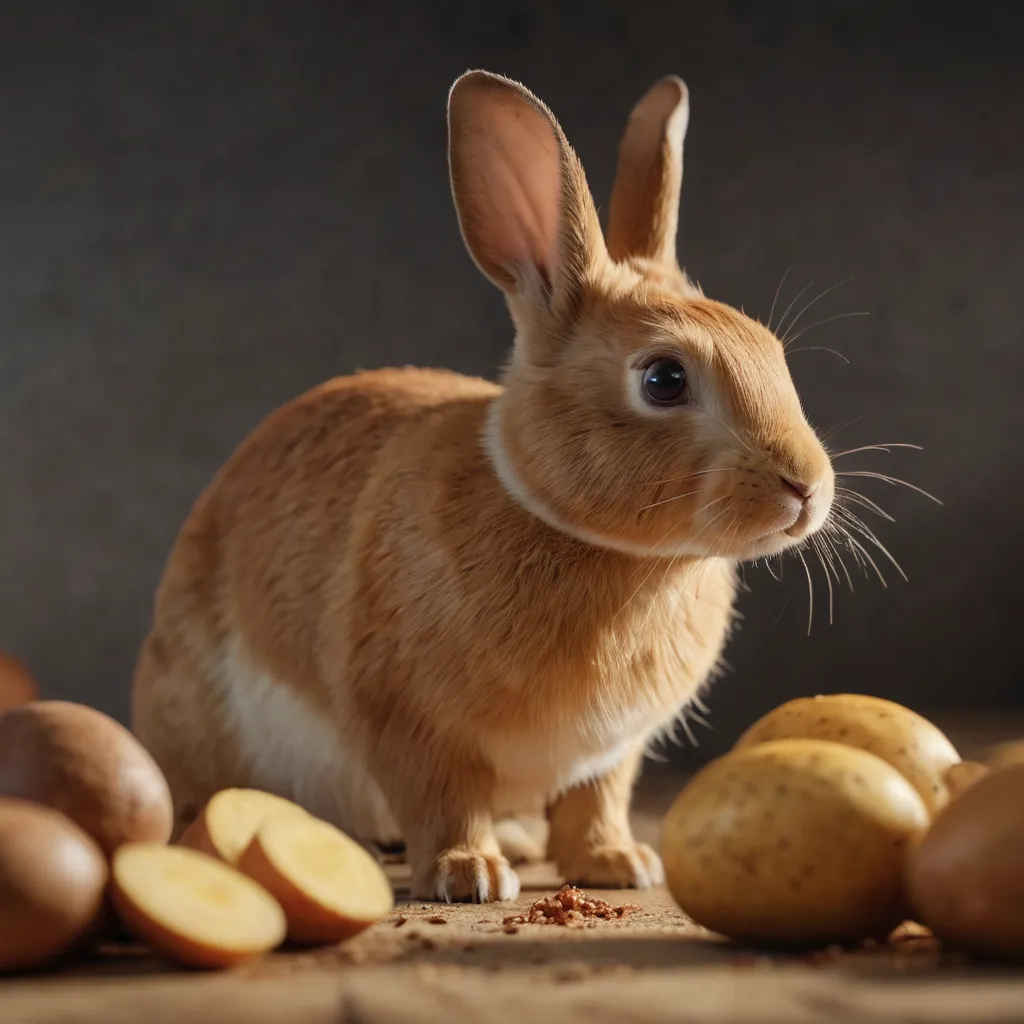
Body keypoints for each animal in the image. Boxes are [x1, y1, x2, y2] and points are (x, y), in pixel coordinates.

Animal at [130, 70, 835, 903]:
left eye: (770, 351)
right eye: (663, 379)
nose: (807, 487)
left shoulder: (611, 752)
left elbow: (597, 801)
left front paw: (619, 865)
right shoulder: (412, 722)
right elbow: (442, 796)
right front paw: (467, 876)